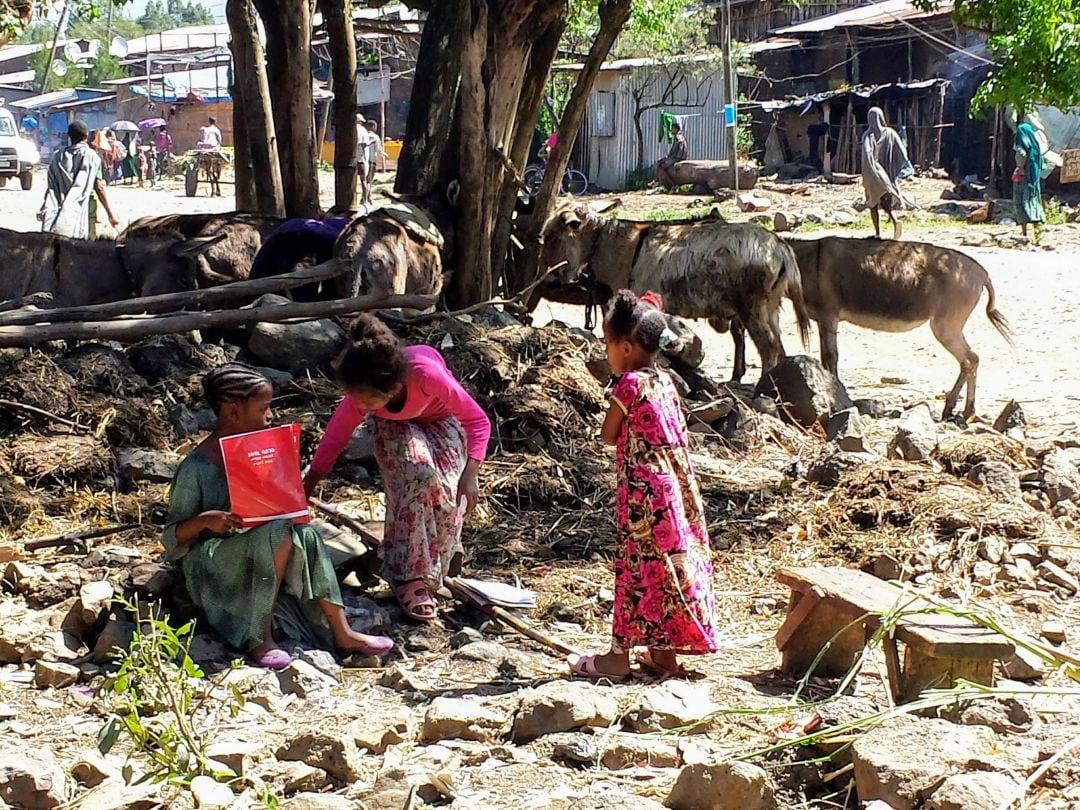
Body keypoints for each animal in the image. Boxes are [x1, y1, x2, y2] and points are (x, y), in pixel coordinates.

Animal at [535, 201, 807, 382]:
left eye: (551, 237)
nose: (547, 282)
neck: (613, 245)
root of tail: (779, 245)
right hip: (770, 307)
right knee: (779, 346)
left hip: (752, 307)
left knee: (769, 347)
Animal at [725, 234, 1010, 421]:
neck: (804, 260)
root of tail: (983, 274)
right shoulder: (825, 321)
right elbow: (828, 357)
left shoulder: (828, 317)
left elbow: (830, 357)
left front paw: (837, 394)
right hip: (949, 326)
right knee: (969, 360)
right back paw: (956, 409)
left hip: (945, 325)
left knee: (970, 359)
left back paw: (962, 410)